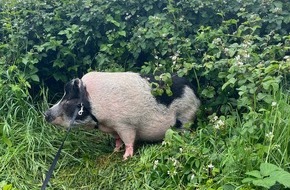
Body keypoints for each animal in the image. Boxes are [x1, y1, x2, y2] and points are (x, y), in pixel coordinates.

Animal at [44, 72, 199, 160]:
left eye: (68, 101)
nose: (46, 113)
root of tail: (193, 90)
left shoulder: (125, 124)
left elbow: (128, 140)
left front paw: (125, 158)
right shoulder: (113, 127)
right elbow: (117, 139)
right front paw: (115, 151)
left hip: (186, 114)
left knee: (185, 129)